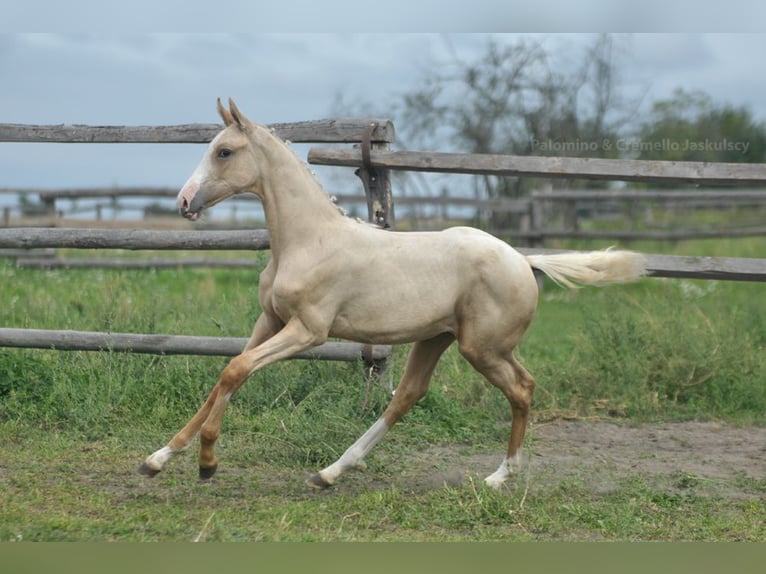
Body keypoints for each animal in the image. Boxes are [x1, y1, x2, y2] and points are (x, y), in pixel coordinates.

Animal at [140, 98, 648, 490]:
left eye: (224, 151)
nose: (184, 202)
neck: (307, 241)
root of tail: (525, 261)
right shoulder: (270, 321)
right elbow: (226, 376)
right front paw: (157, 459)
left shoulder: (308, 331)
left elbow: (235, 371)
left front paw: (207, 463)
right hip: (438, 338)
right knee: (408, 395)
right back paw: (329, 472)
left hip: (482, 347)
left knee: (521, 389)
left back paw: (500, 476)